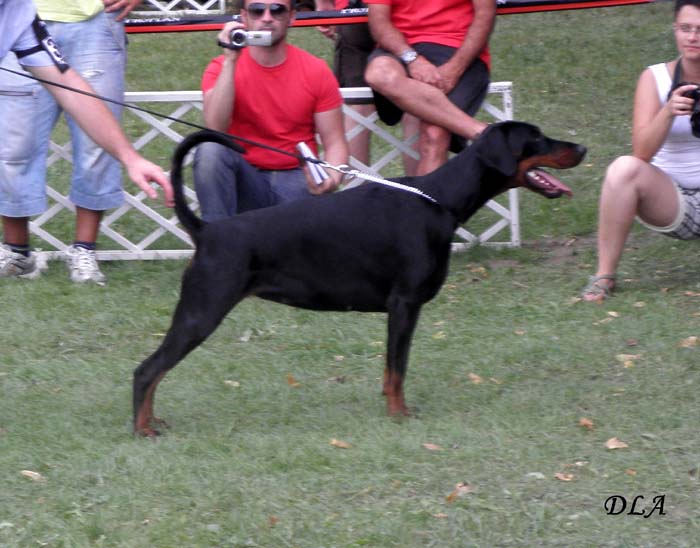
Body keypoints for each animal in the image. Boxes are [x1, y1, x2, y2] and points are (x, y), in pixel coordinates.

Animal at [133, 121, 586, 436]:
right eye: (536, 138)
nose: (582, 147)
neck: (440, 201)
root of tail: (207, 230)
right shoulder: (404, 304)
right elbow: (397, 368)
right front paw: (399, 415)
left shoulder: (404, 309)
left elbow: (392, 369)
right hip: (202, 310)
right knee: (146, 370)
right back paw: (142, 429)